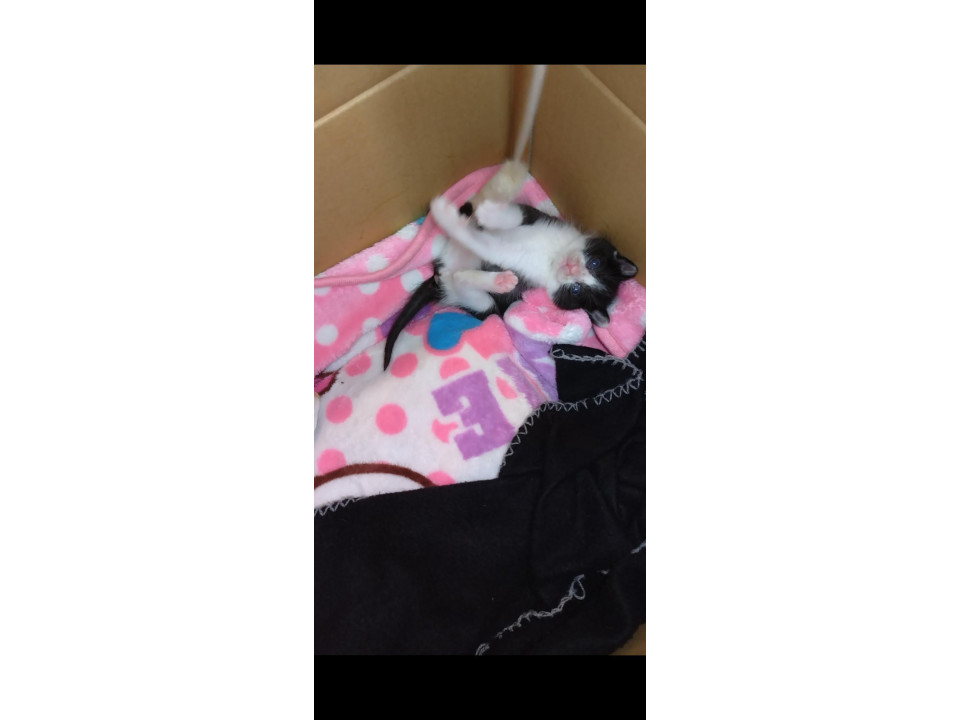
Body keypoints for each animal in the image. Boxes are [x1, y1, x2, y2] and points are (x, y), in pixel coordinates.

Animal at [382, 177, 639, 370]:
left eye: (576, 289)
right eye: (595, 262)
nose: (571, 268)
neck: (554, 255)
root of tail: (440, 277)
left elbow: (492, 248)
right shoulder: (538, 216)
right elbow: (516, 215)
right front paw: (488, 211)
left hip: (485, 307)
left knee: (466, 283)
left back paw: (495, 277)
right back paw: (465, 217)